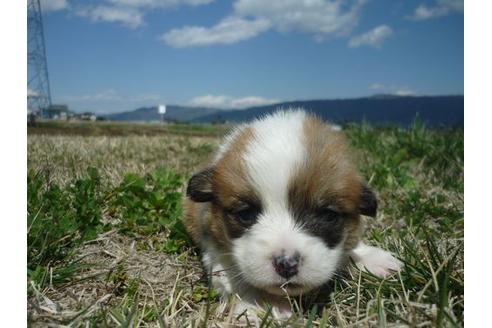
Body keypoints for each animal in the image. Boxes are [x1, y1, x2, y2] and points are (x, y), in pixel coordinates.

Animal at [183, 109, 402, 318]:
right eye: (245, 214)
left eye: (328, 215)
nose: (287, 264)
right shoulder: (213, 245)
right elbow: (232, 275)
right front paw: (261, 302)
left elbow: (352, 245)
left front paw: (369, 258)